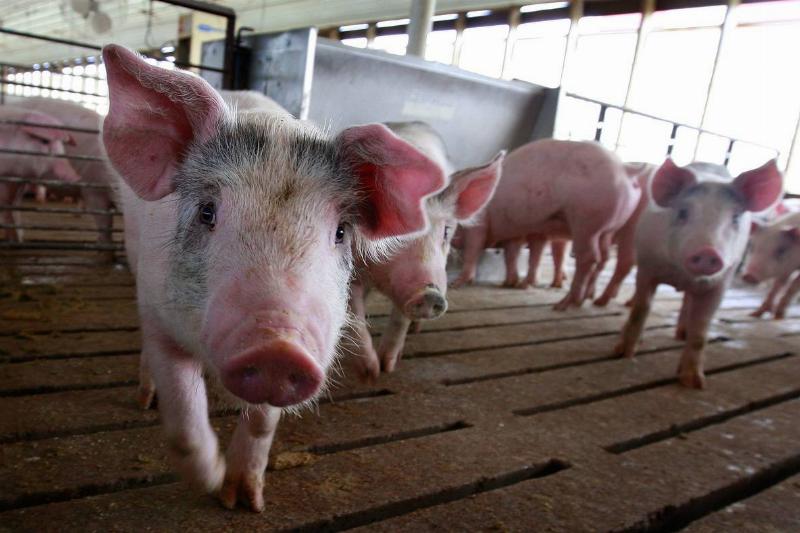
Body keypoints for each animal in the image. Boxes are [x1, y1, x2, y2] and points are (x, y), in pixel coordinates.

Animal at [0, 107, 81, 241]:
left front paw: (17, 238)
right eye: (44, 141)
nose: (76, 177)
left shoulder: (18, 184)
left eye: (62, 145)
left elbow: (12, 208)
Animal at [101, 44, 444, 512]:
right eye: (207, 211)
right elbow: (183, 420)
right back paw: (144, 399)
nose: (278, 348)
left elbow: (263, 423)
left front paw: (244, 501)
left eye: (341, 232)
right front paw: (212, 481)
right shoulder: (159, 314)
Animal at [348, 121, 504, 380]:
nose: (430, 294)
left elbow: (399, 320)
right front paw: (370, 373)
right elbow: (354, 315)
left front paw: (387, 366)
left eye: (446, 231)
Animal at [453, 139, 640, 310]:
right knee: (604, 257)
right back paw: (586, 300)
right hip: (606, 230)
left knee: (590, 257)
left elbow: (473, 250)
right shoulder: (517, 232)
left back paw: (563, 305)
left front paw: (458, 283)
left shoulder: (479, 225)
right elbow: (512, 254)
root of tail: (625, 170)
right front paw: (509, 283)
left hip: (587, 223)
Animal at [615, 159, 783, 389]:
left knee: (688, 303)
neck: (681, 275)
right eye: (683, 212)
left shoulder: (720, 283)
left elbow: (701, 329)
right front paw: (623, 354)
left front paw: (694, 383)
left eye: (735, 217)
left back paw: (682, 334)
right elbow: (641, 309)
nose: (707, 251)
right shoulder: (647, 266)